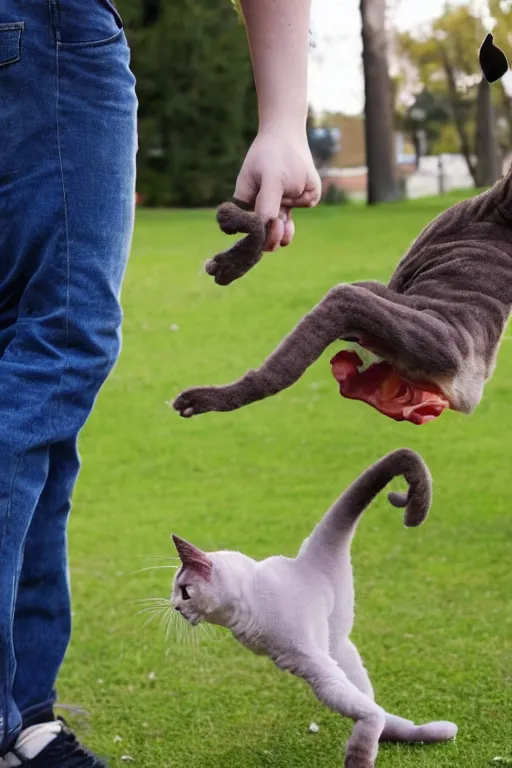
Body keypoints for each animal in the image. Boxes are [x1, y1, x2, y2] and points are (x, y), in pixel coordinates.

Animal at [170, 450, 458, 768]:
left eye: (184, 592)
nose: (174, 606)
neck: (244, 607)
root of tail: (309, 559)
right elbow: (370, 709)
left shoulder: (315, 666)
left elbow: (367, 714)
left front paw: (358, 758)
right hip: (340, 645)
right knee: (375, 703)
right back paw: (429, 732)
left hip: (329, 654)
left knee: (372, 708)